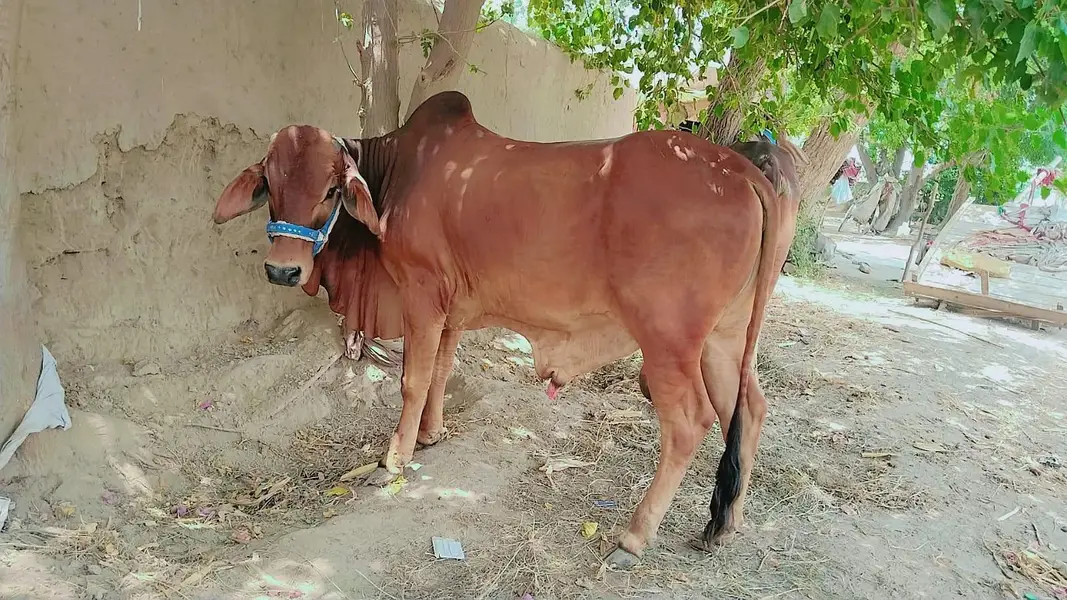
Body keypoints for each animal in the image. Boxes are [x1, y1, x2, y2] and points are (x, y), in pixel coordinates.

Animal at [212, 91, 787, 568]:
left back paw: (634, 536)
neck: (397, 172)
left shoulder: (421, 292)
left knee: (691, 423)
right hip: (724, 338)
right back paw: (725, 524)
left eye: (331, 189)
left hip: (668, 339)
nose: (283, 270)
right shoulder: (451, 308)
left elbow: (412, 380)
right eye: (270, 184)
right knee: (749, 408)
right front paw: (430, 435)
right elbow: (441, 371)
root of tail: (740, 170)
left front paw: (393, 460)